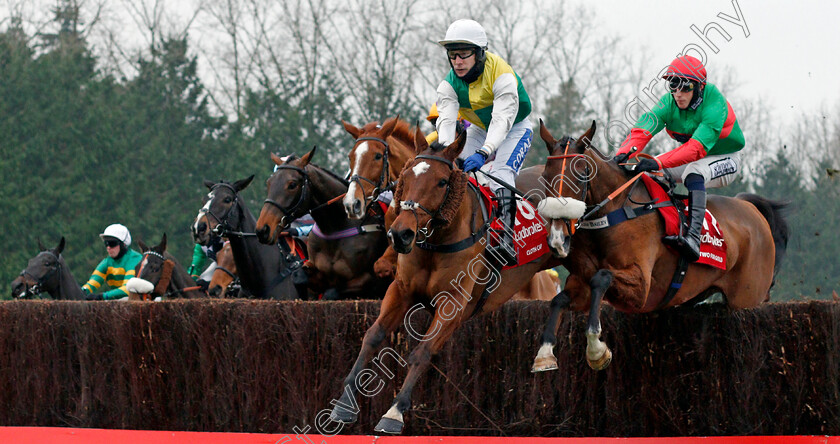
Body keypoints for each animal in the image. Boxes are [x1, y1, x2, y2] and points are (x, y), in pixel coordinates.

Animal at [254, 147, 388, 300]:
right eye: (269, 183)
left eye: (292, 184)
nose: (263, 229)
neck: (336, 226)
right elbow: (298, 277)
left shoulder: (372, 280)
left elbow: (331, 293)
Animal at [332, 127, 560, 434]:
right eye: (405, 178)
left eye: (442, 182)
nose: (400, 234)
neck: (438, 240)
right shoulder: (401, 290)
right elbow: (373, 335)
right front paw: (344, 404)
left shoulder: (454, 303)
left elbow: (422, 351)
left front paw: (394, 412)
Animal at [532, 120, 788, 372]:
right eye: (544, 176)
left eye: (580, 176)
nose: (557, 239)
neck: (614, 211)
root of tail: (752, 209)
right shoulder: (581, 284)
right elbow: (559, 300)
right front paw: (544, 354)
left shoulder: (641, 288)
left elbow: (601, 277)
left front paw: (596, 349)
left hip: (747, 297)